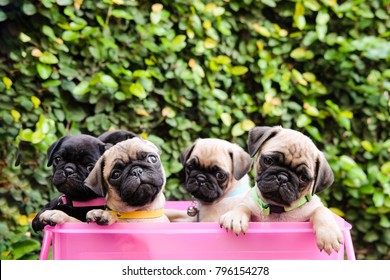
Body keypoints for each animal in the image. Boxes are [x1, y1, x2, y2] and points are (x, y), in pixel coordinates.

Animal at [219, 126, 344, 255]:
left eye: (303, 177)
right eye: (268, 160)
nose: (283, 177)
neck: (276, 208)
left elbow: (322, 211)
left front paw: (329, 234)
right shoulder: (250, 205)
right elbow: (243, 207)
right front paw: (235, 217)